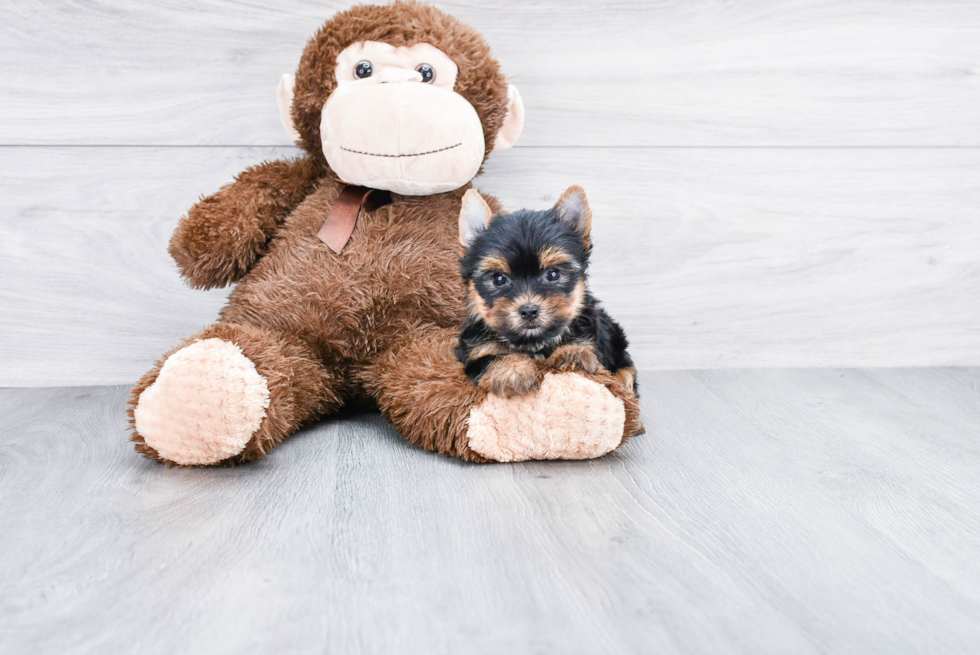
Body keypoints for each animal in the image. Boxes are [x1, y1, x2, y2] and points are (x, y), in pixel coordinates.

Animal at [458, 186, 640, 400]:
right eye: (499, 279)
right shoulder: (473, 350)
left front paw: (574, 354)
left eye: (553, 274)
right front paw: (512, 371)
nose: (529, 310)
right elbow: (490, 358)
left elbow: (584, 349)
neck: (534, 341)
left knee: (626, 368)